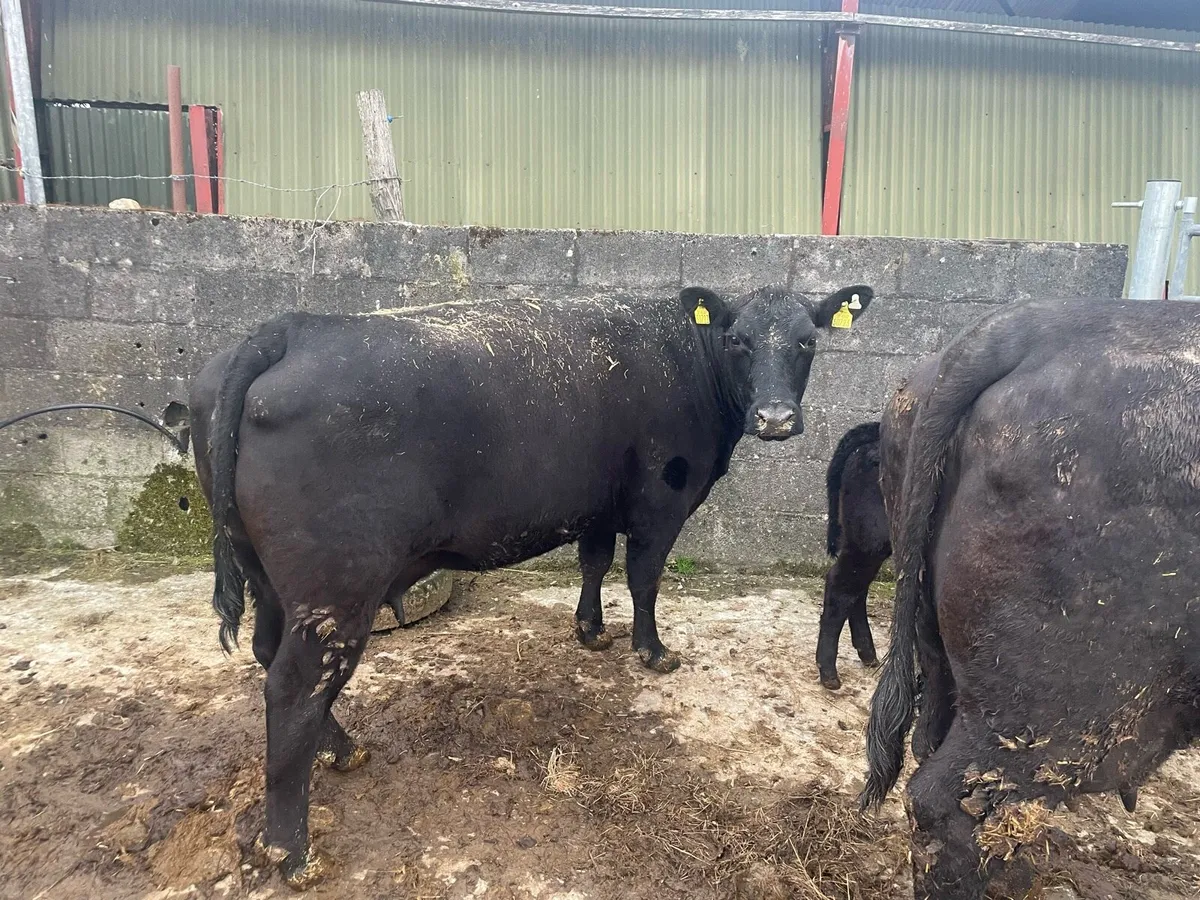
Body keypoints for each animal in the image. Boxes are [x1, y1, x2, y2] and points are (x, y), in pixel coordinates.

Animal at [189, 284, 874, 886]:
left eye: (808, 341)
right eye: (737, 339)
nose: (776, 419)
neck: (686, 355)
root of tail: (294, 326)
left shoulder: (596, 504)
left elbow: (595, 562)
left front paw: (591, 630)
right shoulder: (661, 500)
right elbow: (645, 577)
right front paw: (652, 650)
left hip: (272, 580)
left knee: (270, 656)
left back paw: (343, 750)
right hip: (336, 587)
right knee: (294, 689)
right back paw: (293, 851)